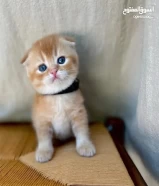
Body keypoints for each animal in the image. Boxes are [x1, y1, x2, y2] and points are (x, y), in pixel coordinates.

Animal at [21, 34, 95, 162]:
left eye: (61, 60)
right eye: (42, 67)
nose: (53, 71)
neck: (58, 95)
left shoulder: (78, 113)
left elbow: (82, 130)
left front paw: (85, 145)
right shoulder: (41, 119)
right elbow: (44, 137)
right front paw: (44, 151)